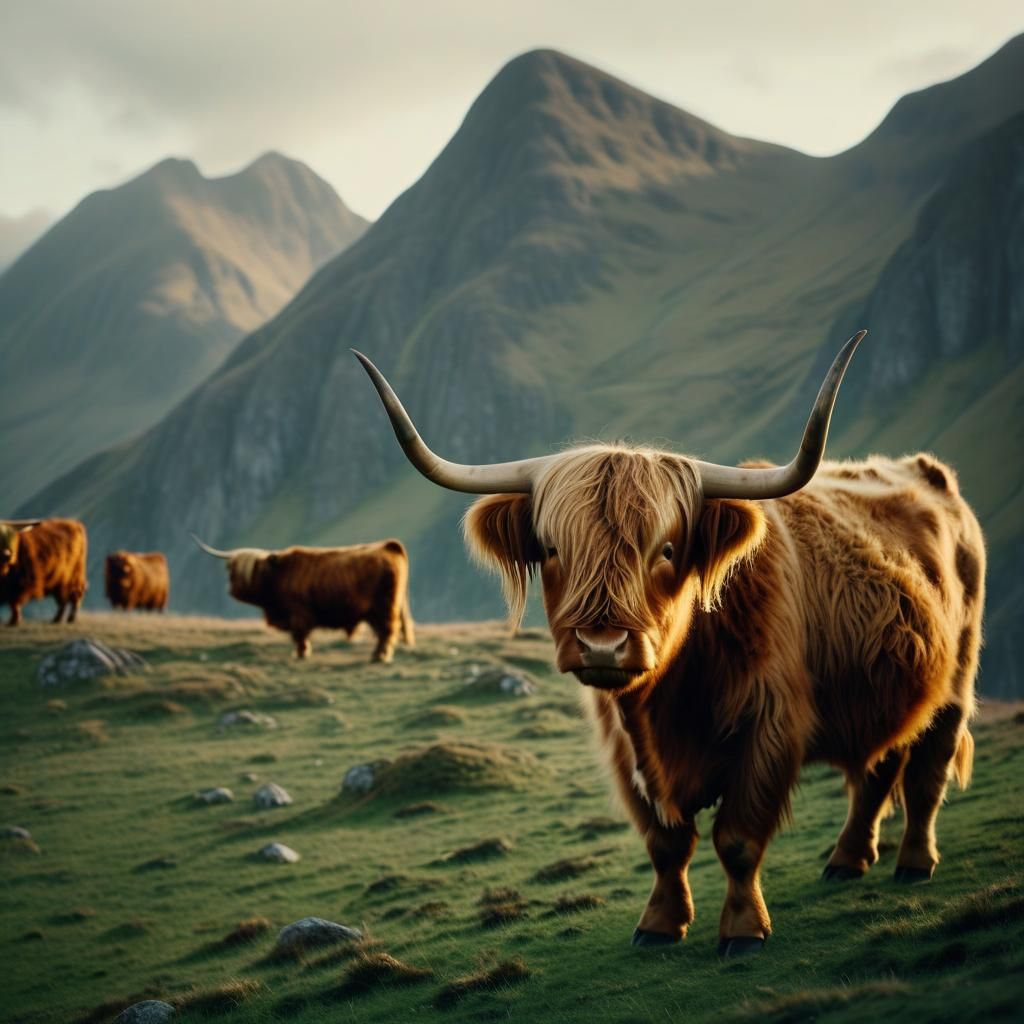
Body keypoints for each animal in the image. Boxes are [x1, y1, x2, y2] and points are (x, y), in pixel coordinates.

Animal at [192, 536, 415, 662]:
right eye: (232, 568)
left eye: (252, 569)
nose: (231, 590)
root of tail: (388, 546)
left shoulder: (298, 614)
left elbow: (299, 636)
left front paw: (300, 654)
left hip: (384, 607)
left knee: (387, 632)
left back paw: (379, 657)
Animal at [353, 331, 985, 956]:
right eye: (553, 549)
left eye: (667, 549)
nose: (602, 646)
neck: (671, 699)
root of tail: (925, 473)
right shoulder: (624, 749)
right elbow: (665, 843)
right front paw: (659, 923)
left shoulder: (771, 729)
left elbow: (737, 839)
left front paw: (743, 930)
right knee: (880, 765)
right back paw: (848, 861)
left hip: (957, 679)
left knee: (927, 771)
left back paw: (914, 862)